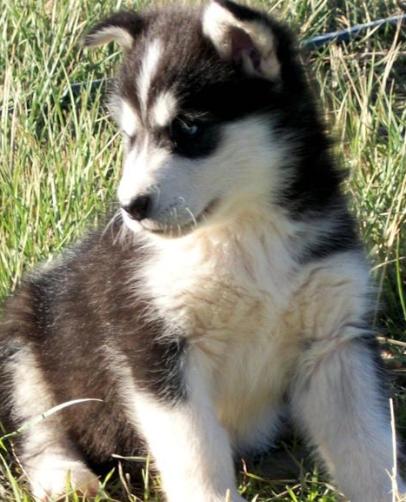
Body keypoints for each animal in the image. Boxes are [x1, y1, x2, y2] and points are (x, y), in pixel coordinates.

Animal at [0, 0, 406, 502]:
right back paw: (64, 476)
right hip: (23, 329)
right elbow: (198, 457)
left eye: (189, 127)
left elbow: (369, 451)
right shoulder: (156, 345)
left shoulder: (336, 340)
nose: (130, 207)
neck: (244, 232)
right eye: (129, 136)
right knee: (37, 425)